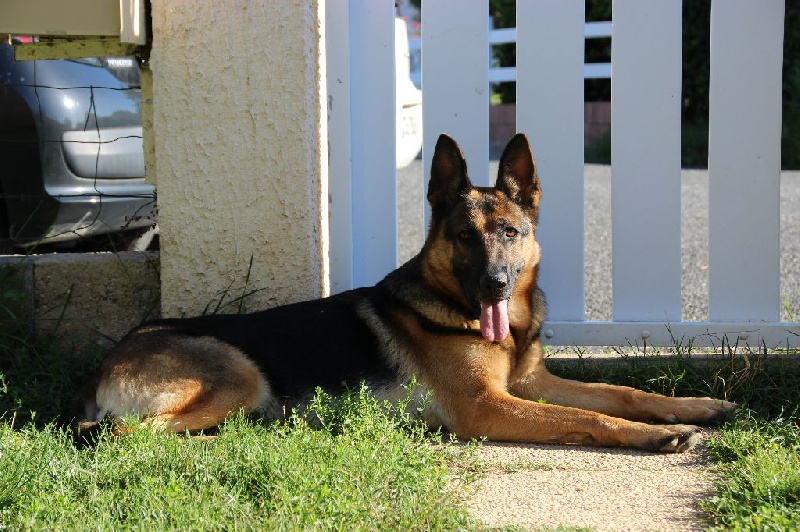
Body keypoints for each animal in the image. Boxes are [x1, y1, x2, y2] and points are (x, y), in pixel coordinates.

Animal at [78, 135, 736, 450]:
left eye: (510, 233)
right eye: (465, 236)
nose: (496, 284)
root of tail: (107, 362)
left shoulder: (528, 384)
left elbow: (621, 392)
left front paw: (696, 407)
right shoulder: (488, 407)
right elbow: (588, 417)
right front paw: (655, 435)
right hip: (237, 377)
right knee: (119, 436)